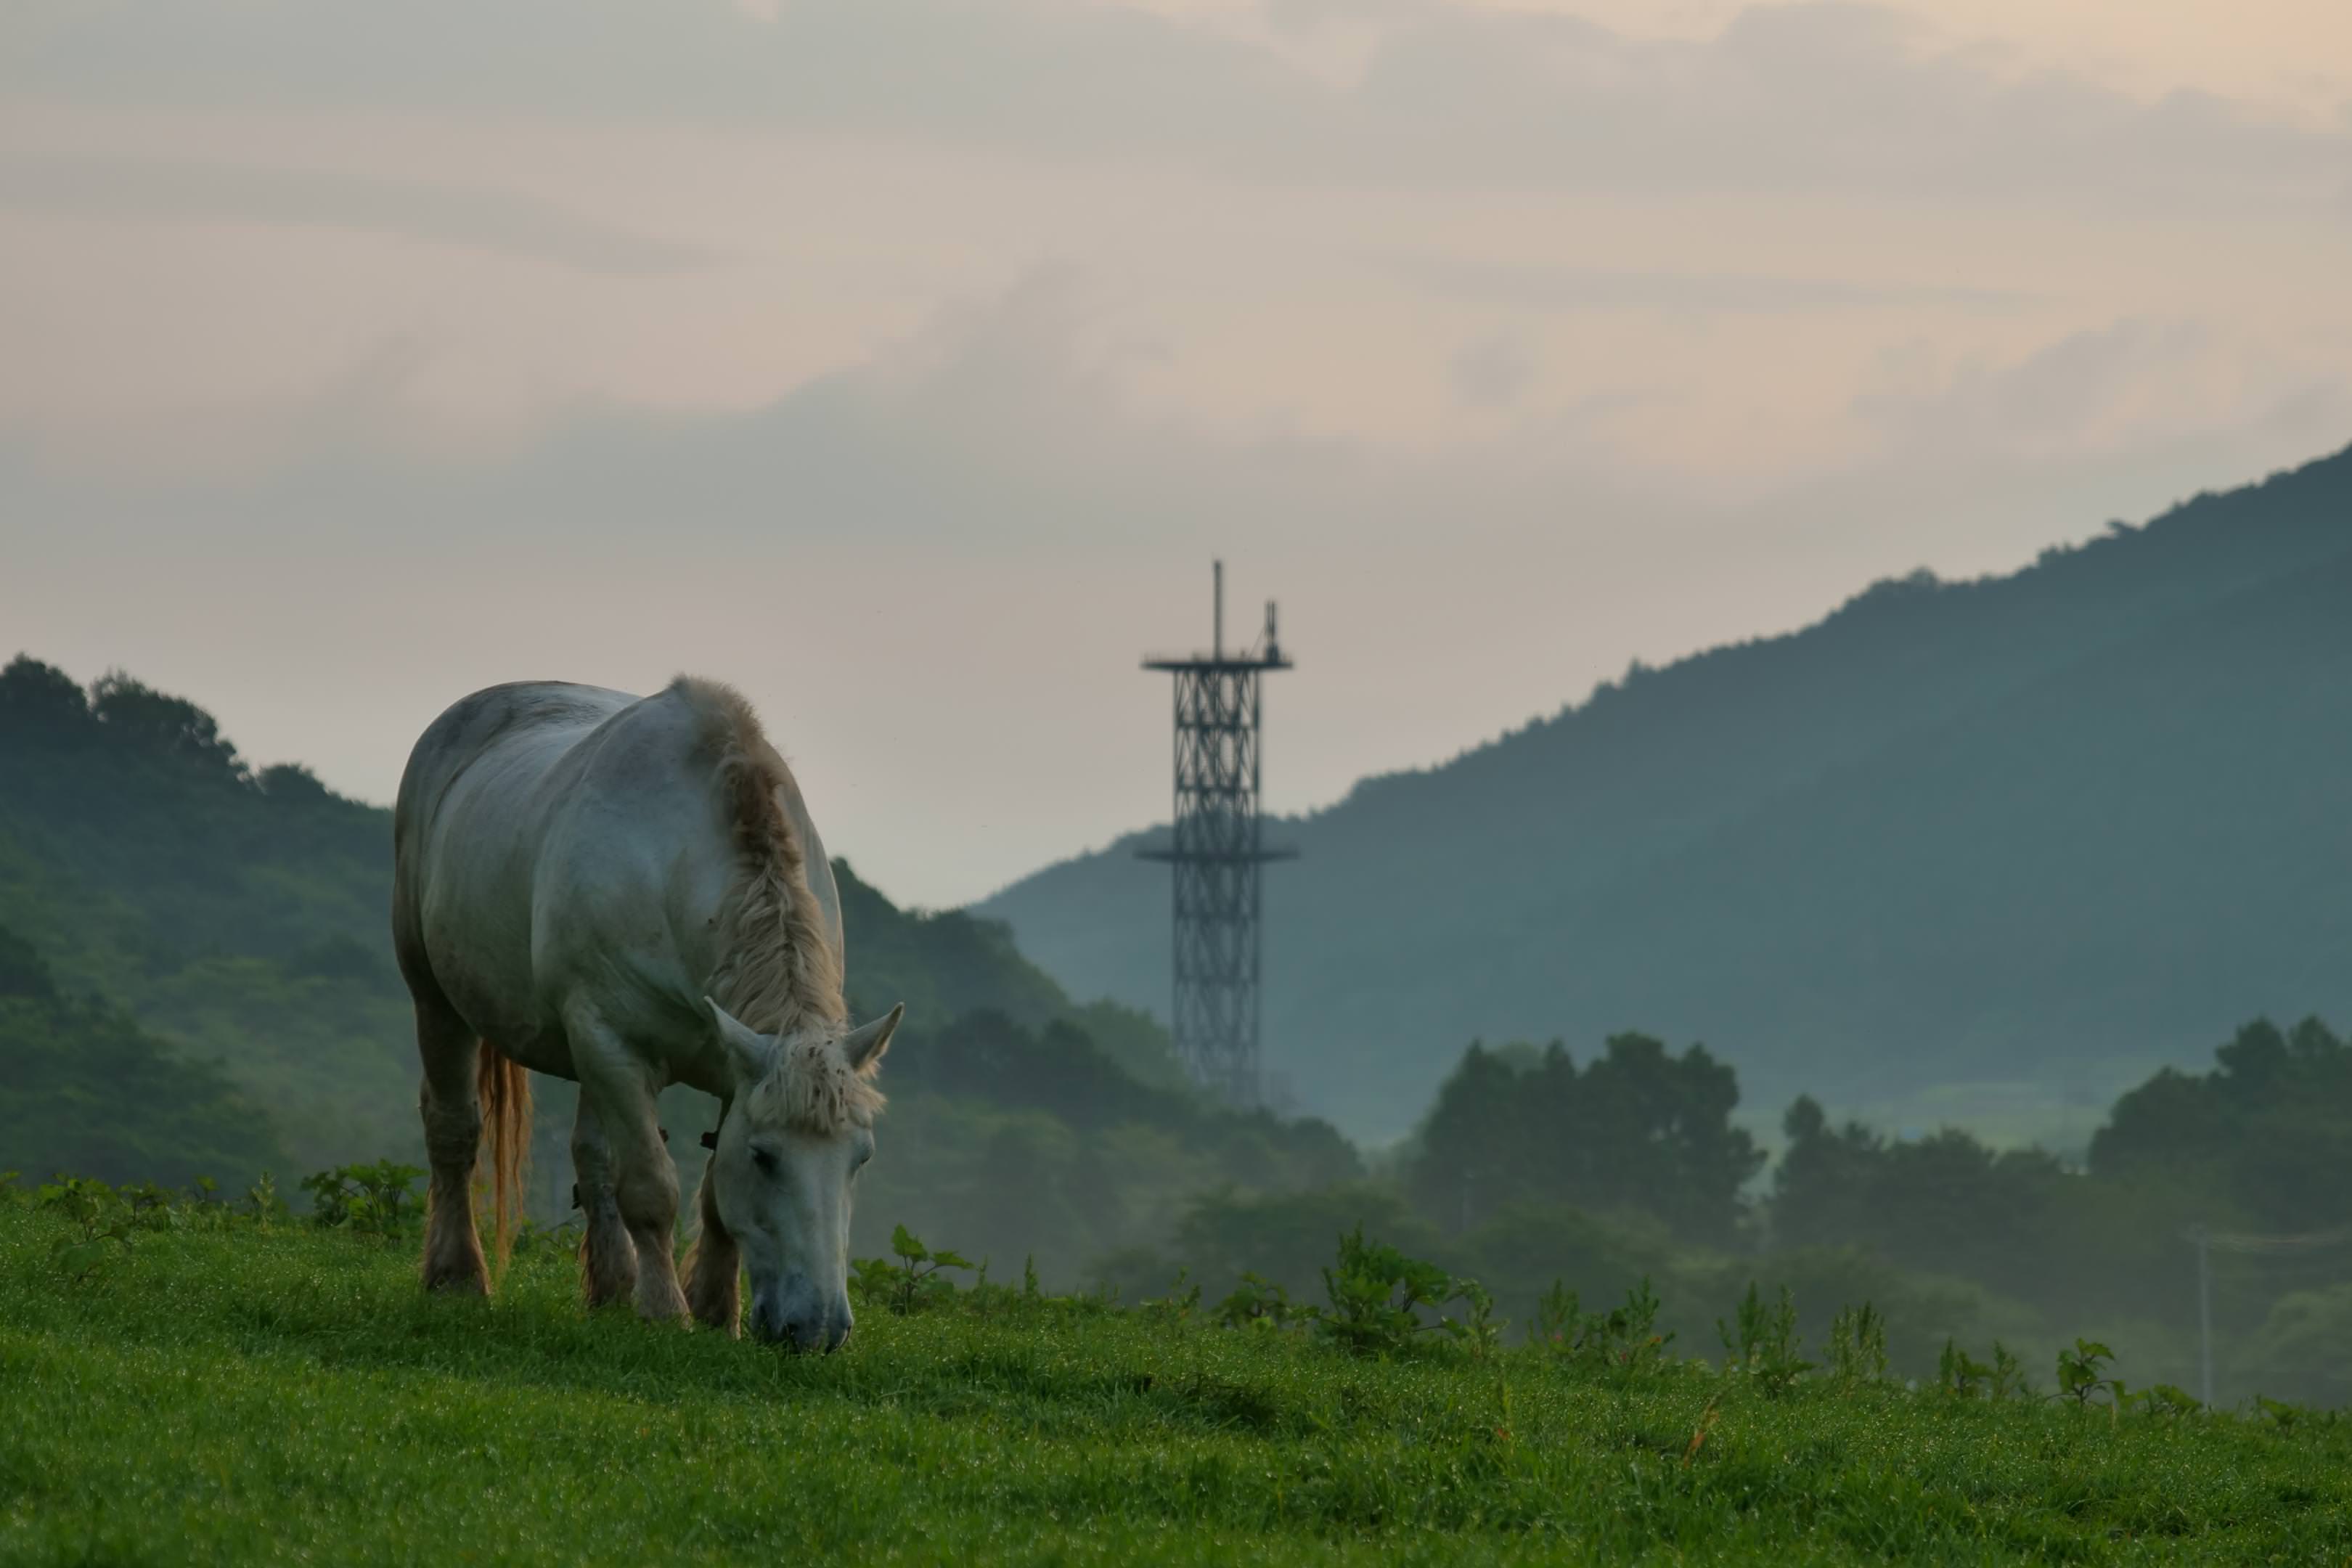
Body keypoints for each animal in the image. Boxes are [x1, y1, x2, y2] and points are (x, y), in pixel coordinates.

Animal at [390, 675, 903, 1350]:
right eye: (765, 1157)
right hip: (438, 999)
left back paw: (612, 1287)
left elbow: (709, 1196)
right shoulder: (615, 1045)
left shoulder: (729, 1066)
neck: (674, 869)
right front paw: (666, 1311)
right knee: (454, 1129)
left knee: (590, 1155)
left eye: (860, 1158)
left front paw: (714, 1309)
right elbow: (652, 1187)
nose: (816, 1329)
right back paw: (457, 1277)